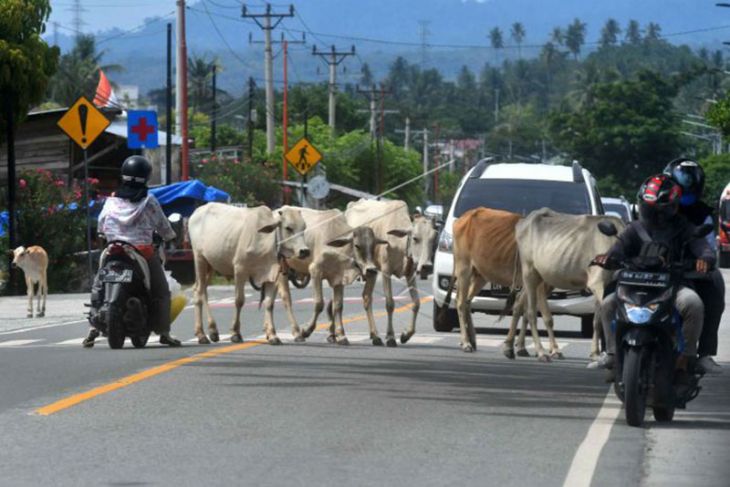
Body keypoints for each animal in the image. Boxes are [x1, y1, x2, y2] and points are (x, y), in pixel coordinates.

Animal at [186, 204, 308, 346]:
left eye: (304, 228)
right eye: (288, 228)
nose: (304, 251)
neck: (265, 240)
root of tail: (198, 210)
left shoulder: (271, 275)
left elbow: (269, 304)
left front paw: (273, 335)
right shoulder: (240, 270)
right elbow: (239, 301)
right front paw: (235, 333)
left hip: (211, 264)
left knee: (201, 290)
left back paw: (213, 331)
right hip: (199, 259)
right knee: (199, 291)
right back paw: (201, 335)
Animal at [276, 208, 384, 346]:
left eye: (373, 245)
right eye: (357, 246)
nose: (371, 269)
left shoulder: (338, 278)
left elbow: (338, 306)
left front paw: (341, 335)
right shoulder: (315, 271)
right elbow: (319, 303)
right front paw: (306, 331)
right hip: (281, 271)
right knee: (286, 299)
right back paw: (297, 333)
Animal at [344, 198, 418, 346]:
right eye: (415, 238)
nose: (426, 265)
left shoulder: (410, 273)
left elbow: (416, 303)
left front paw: (406, 335)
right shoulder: (386, 271)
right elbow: (390, 304)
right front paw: (390, 337)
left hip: (371, 271)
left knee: (367, 296)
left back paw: (375, 336)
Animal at [506, 210, 624, 362]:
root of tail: (523, 221)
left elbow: (597, 321)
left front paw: (595, 353)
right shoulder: (598, 284)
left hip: (537, 277)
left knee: (519, 303)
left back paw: (511, 347)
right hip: (529, 272)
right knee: (531, 312)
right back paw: (541, 352)